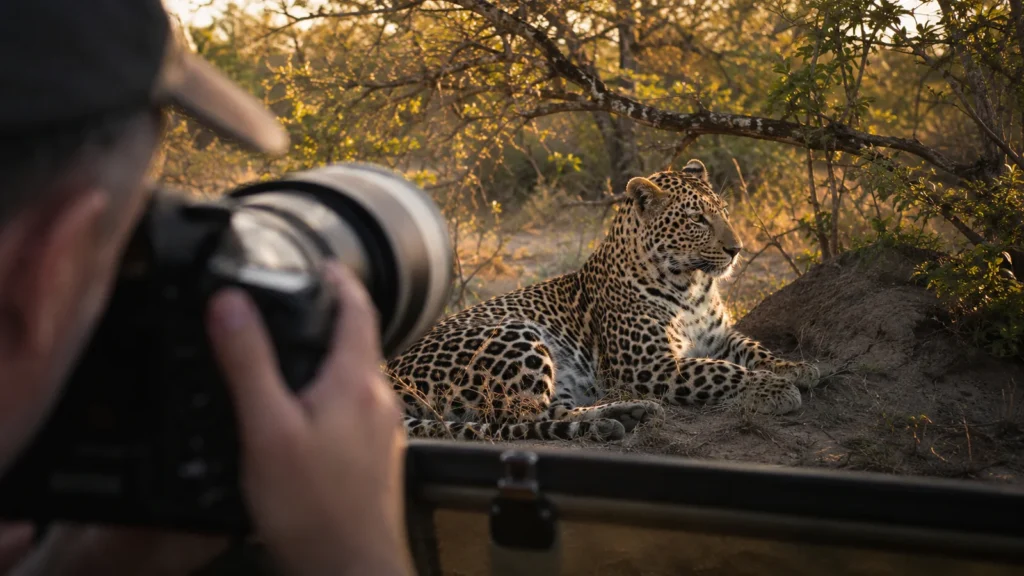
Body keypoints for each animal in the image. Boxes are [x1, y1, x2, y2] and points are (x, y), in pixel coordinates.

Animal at [384, 159, 821, 443]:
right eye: (697, 219)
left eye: (724, 212)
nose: (736, 249)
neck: (693, 286)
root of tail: (387, 374)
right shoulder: (651, 366)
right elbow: (721, 371)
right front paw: (775, 388)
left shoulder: (720, 337)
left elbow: (753, 349)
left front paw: (798, 368)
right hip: (517, 334)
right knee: (519, 418)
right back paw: (613, 419)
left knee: (552, 409)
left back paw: (625, 414)